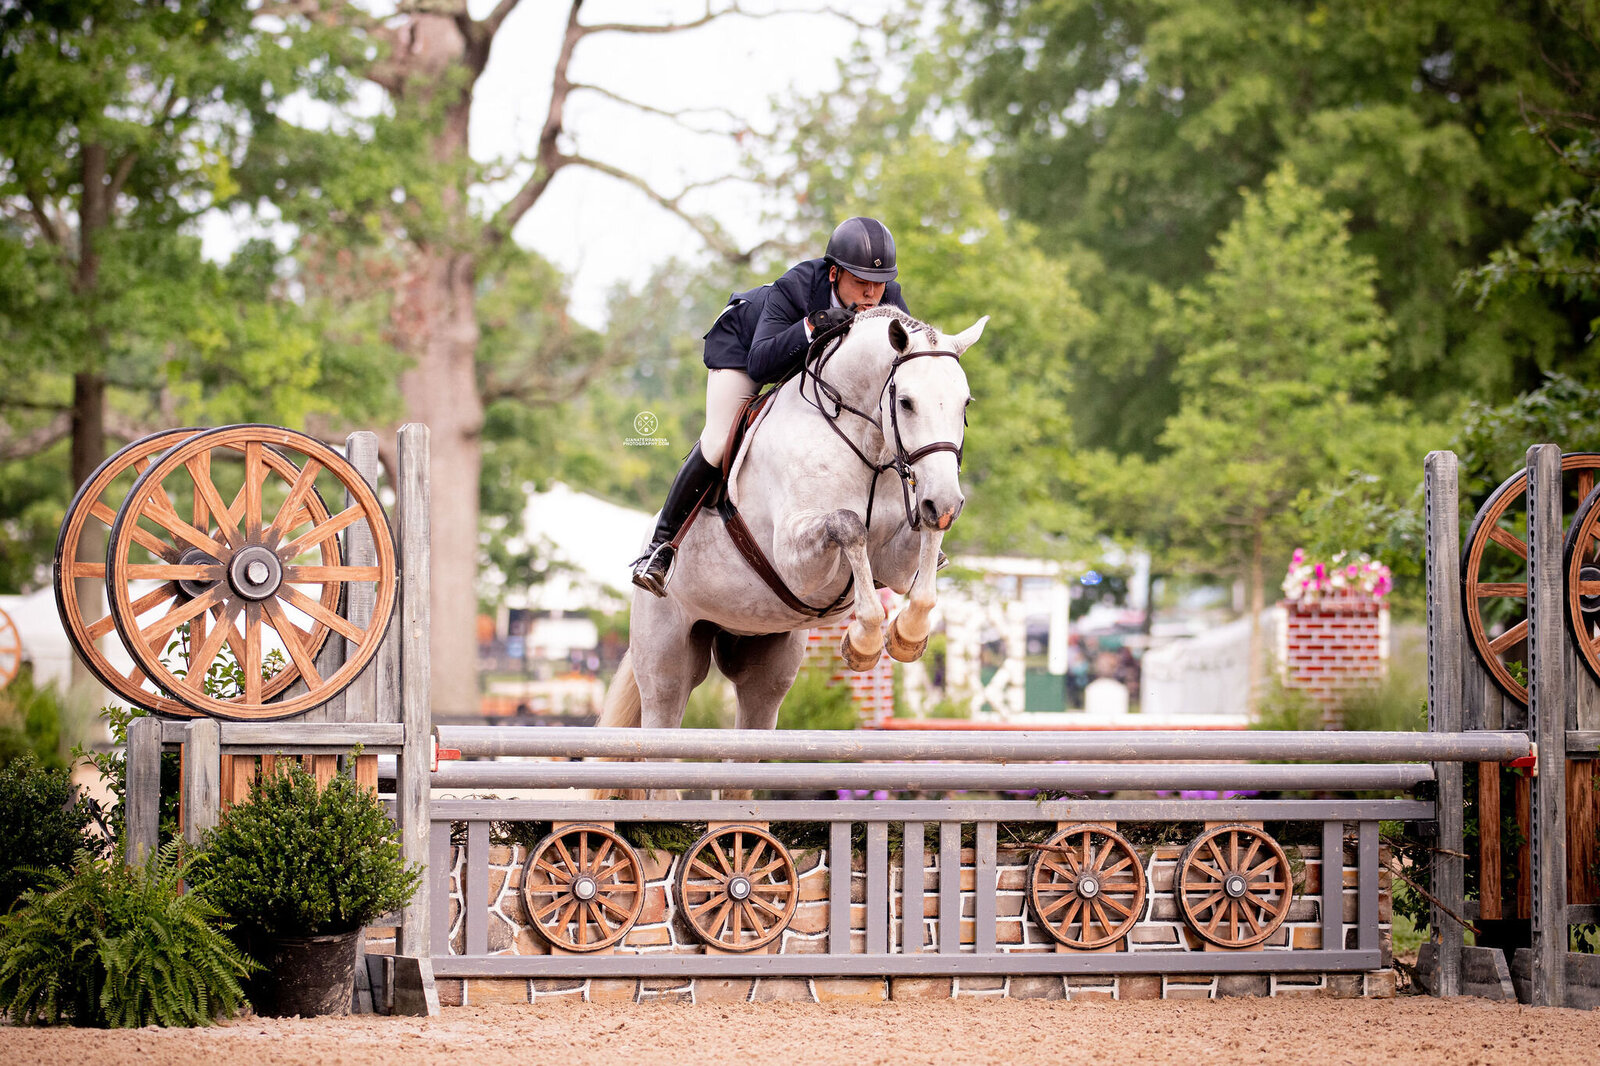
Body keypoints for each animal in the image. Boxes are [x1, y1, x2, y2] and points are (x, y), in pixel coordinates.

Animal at [598, 302, 979, 726]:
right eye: (906, 402)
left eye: (964, 403)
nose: (945, 500)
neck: (866, 444)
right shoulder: (796, 560)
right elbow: (847, 523)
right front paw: (863, 642)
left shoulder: (896, 562)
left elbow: (924, 549)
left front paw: (908, 634)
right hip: (665, 655)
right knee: (664, 702)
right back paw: (656, 563)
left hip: (766, 660)